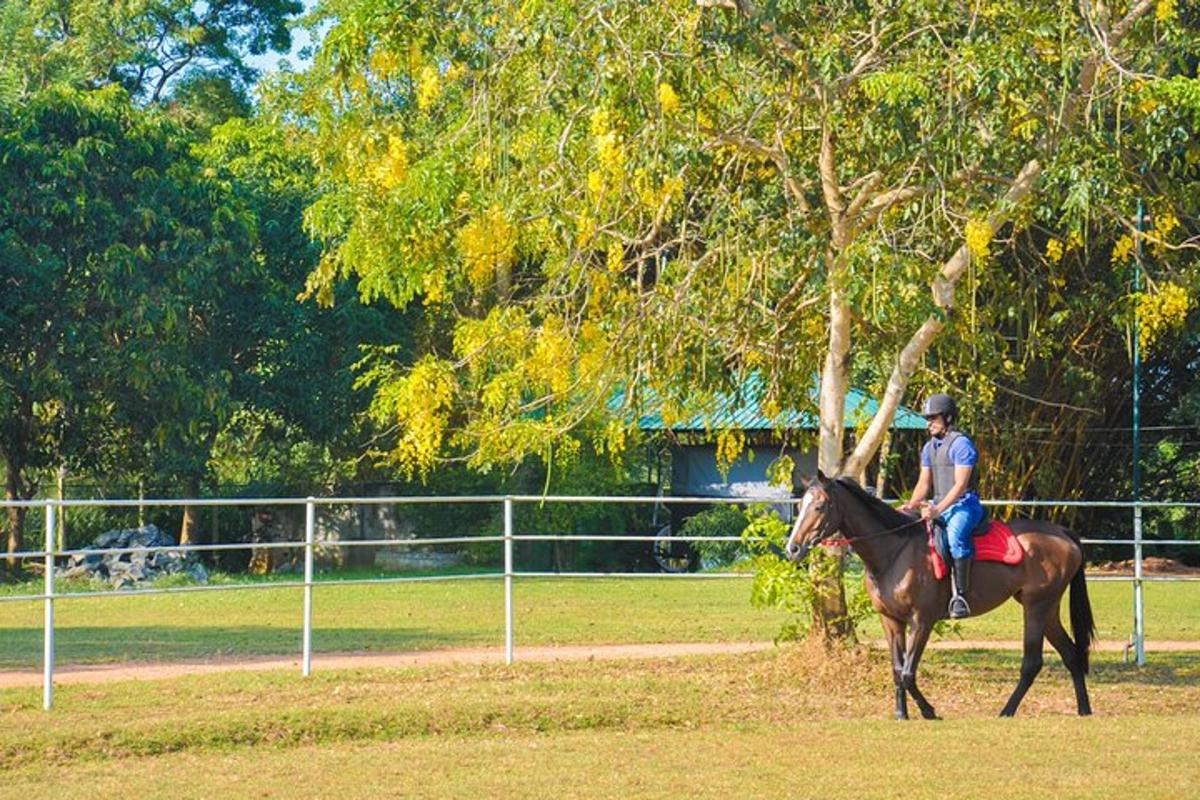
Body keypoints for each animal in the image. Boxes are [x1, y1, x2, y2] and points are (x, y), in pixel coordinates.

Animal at [782, 472, 1094, 724]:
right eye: (800, 506)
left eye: (819, 506)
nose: (793, 548)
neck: (895, 552)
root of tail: (1063, 533)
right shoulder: (891, 621)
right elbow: (897, 670)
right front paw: (901, 713)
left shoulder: (922, 621)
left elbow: (908, 672)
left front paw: (928, 711)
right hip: (1048, 608)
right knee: (1070, 654)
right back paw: (1084, 709)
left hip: (1036, 606)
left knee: (1033, 662)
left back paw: (1007, 711)